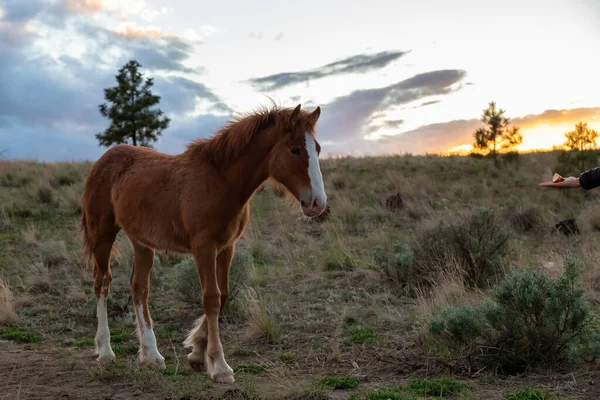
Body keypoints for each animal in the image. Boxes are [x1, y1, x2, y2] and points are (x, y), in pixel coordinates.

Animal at [81, 104, 328, 382]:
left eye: (317, 148)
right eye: (295, 149)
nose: (317, 203)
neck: (221, 182)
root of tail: (104, 159)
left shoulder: (227, 247)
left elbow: (224, 294)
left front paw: (197, 352)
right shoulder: (204, 247)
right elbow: (211, 297)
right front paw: (219, 365)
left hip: (141, 241)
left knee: (139, 288)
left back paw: (151, 355)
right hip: (103, 234)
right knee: (102, 283)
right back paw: (105, 351)